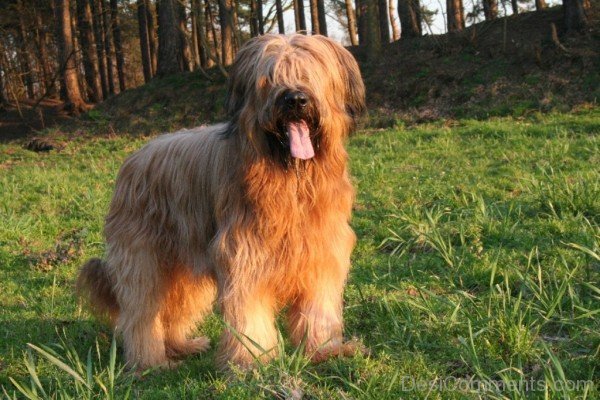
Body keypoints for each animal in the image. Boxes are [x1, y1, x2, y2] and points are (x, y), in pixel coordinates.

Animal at [75, 32, 366, 370]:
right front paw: (253, 361)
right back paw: (151, 362)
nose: (295, 99)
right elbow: (248, 313)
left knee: (177, 306)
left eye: (309, 73)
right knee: (141, 312)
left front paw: (324, 350)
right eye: (270, 77)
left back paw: (182, 346)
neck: (291, 179)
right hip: (143, 257)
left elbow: (318, 308)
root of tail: (133, 159)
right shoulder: (245, 255)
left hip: (185, 263)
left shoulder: (321, 253)